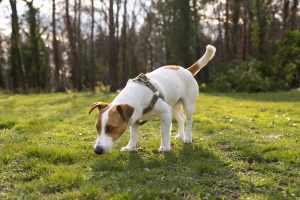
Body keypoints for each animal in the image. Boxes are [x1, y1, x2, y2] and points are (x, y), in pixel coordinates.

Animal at [88, 45, 216, 155]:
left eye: (110, 128)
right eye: (97, 127)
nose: (97, 150)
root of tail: (187, 70)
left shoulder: (165, 112)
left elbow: (164, 132)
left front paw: (165, 147)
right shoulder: (135, 119)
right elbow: (133, 135)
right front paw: (130, 147)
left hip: (188, 104)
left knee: (189, 120)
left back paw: (187, 137)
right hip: (174, 106)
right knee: (181, 119)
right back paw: (180, 135)